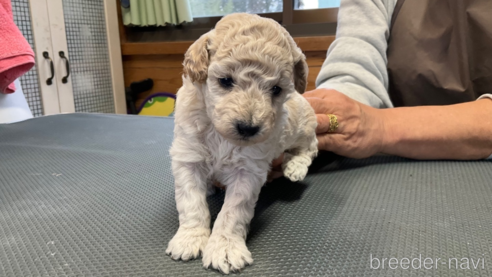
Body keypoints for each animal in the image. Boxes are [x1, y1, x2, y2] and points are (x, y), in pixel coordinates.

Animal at [166, 12, 320, 272]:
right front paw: (190, 238)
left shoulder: (248, 170)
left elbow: (232, 212)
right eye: (225, 81)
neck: (220, 135)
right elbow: (191, 202)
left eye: (276, 89)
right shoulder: (188, 157)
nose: (249, 128)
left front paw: (225, 248)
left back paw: (295, 167)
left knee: (310, 148)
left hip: (303, 126)